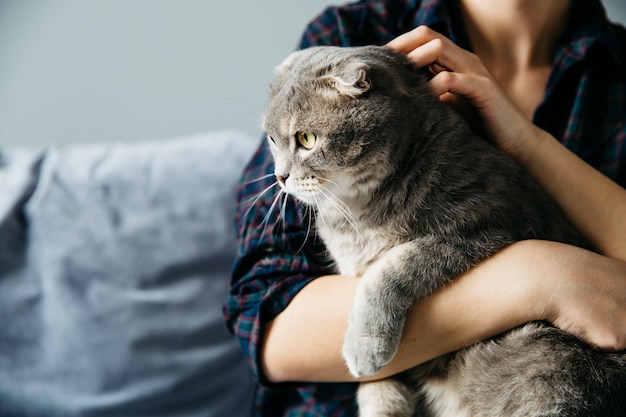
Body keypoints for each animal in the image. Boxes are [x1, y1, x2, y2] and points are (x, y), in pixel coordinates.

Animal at [260, 45, 624, 416]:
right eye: (272, 140)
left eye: (307, 139)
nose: (280, 177)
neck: (357, 212)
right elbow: (380, 390)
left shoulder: (481, 227)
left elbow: (388, 270)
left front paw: (365, 346)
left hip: (546, 366)